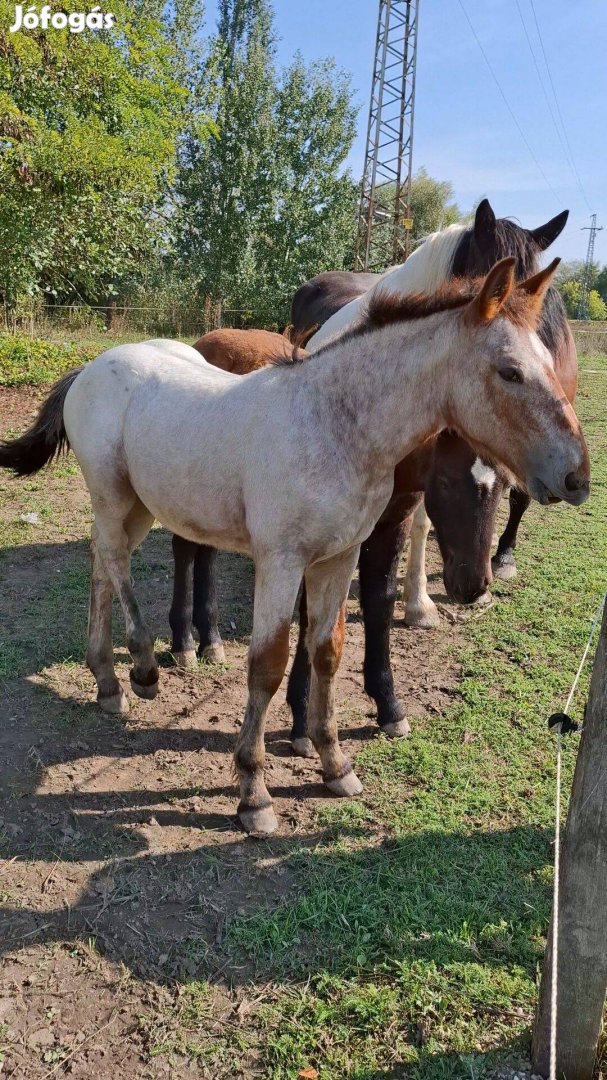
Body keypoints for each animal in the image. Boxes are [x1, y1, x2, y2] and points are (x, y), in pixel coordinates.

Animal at [170, 200, 570, 751]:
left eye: (505, 486)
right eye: (449, 485)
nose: (473, 587)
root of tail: (207, 338)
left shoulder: (391, 519)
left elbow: (378, 600)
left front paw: (388, 704)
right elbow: (310, 613)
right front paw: (301, 720)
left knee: (204, 551)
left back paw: (209, 640)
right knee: (185, 550)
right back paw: (185, 642)